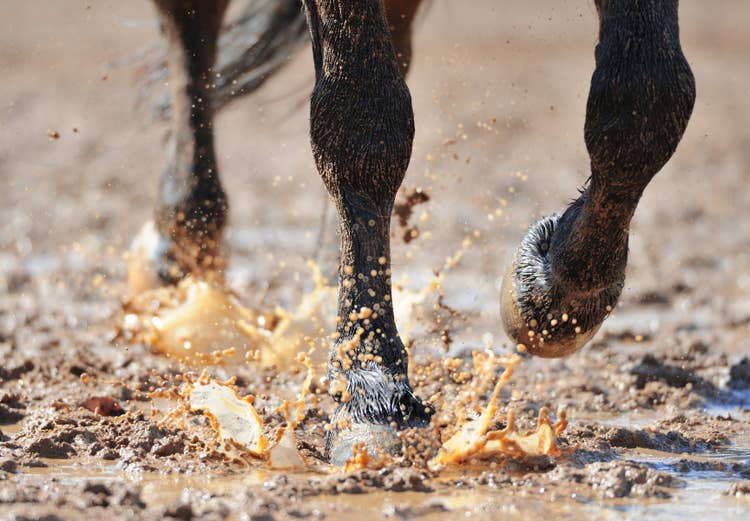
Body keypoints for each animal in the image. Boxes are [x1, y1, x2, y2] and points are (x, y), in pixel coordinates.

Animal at [130, 0, 695, 465]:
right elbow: (362, 118)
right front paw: (373, 395)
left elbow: (646, 98)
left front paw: (555, 295)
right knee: (192, 28)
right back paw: (183, 246)